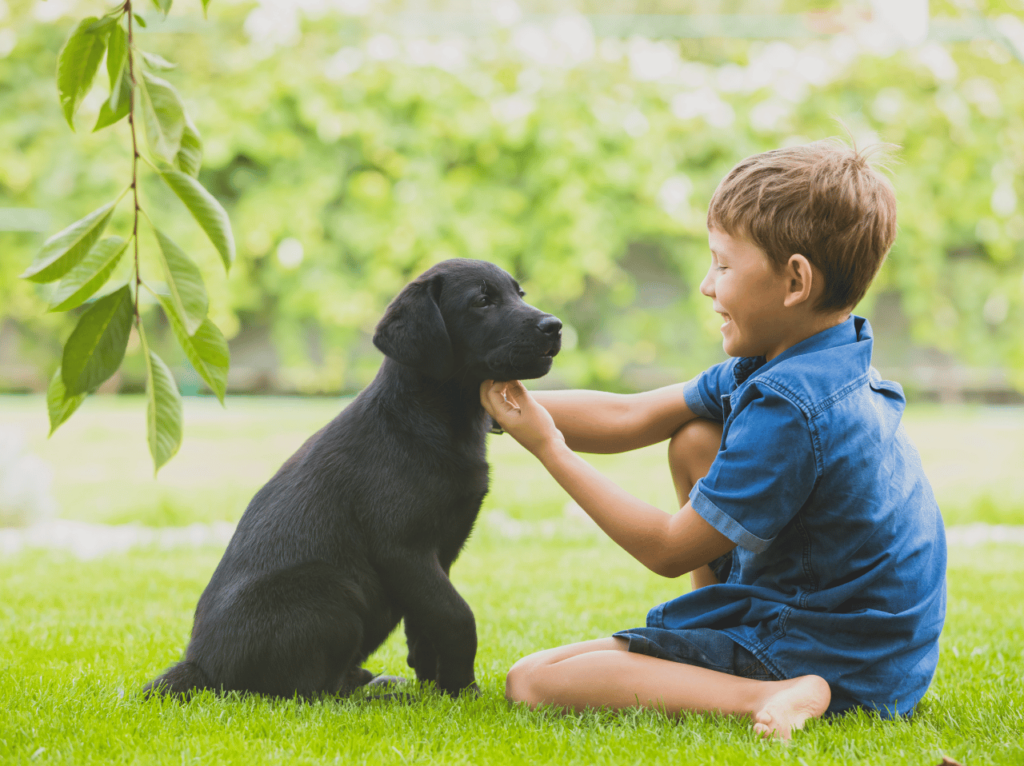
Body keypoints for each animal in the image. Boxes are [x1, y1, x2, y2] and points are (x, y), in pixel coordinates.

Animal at [144, 259, 561, 700]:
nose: (555, 326)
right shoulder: (403, 548)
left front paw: (437, 685)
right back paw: (384, 694)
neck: (428, 418)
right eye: (482, 301)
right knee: (312, 692)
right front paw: (463, 690)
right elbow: (457, 617)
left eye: (520, 294)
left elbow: (427, 622)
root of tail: (200, 666)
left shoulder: (439, 554)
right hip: (331, 588)